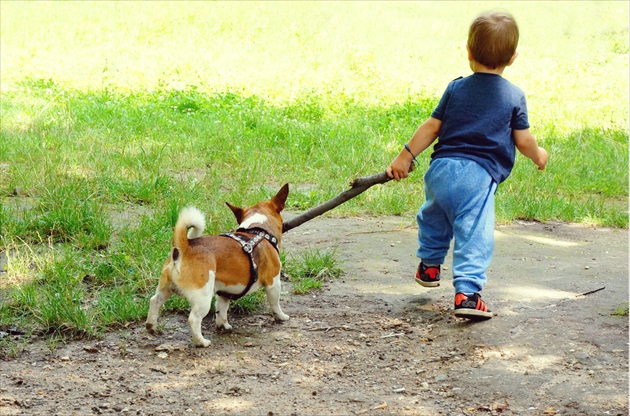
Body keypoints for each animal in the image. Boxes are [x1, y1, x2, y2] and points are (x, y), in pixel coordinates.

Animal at [146, 185, 292, 348]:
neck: (257, 229)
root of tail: (184, 247)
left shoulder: (224, 292)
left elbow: (222, 310)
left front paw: (223, 325)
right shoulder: (274, 283)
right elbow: (275, 303)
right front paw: (281, 316)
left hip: (166, 288)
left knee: (154, 301)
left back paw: (151, 326)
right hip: (203, 297)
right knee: (194, 319)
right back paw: (201, 342)